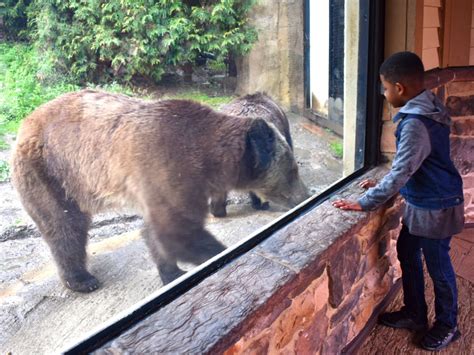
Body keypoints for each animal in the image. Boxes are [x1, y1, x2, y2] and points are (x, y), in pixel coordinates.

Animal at [11, 90, 310, 294]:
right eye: (293, 169)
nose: (305, 194)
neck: (210, 158)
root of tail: (25, 123)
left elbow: (156, 232)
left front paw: (172, 272)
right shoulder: (168, 165)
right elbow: (176, 231)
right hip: (52, 171)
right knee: (63, 226)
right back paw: (82, 280)